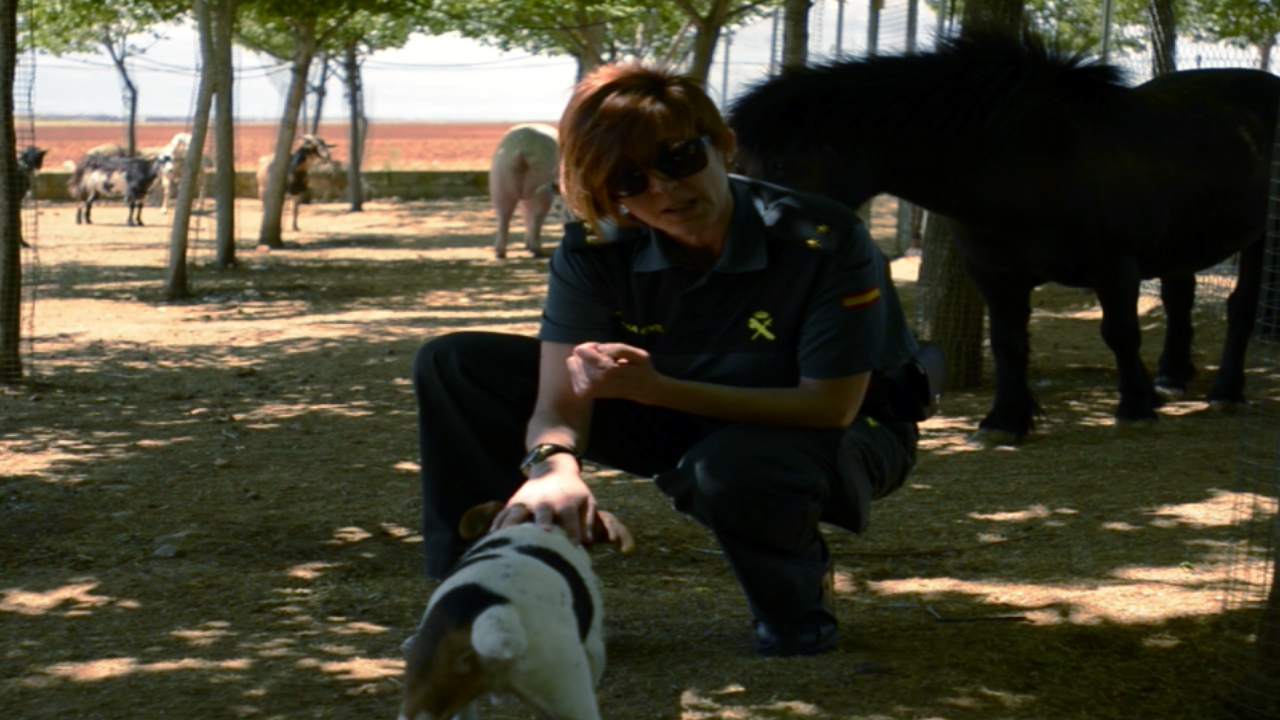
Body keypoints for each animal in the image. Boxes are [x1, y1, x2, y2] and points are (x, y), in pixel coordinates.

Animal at [732, 33, 1280, 443]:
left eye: (782, 165)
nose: (744, 242)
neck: (1036, 159)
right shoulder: (995, 275)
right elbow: (1007, 342)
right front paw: (1005, 421)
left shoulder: (1116, 269)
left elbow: (1120, 333)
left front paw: (1135, 407)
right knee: (1180, 295)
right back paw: (1173, 375)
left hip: (1261, 242)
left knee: (1241, 307)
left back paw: (1226, 391)